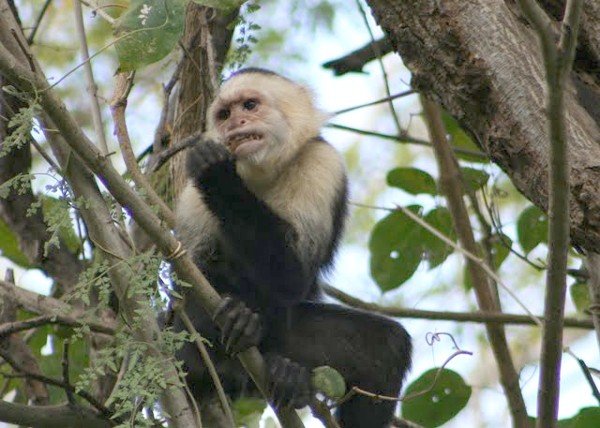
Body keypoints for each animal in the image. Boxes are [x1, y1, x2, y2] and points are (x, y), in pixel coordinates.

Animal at [171, 68, 410, 426]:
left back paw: (288, 373)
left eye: (250, 105)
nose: (236, 123)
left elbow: (291, 277)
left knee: (386, 348)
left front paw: (218, 175)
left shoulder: (321, 165)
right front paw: (236, 315)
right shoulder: (191, 199)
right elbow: (193, 277)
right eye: (224, 114)